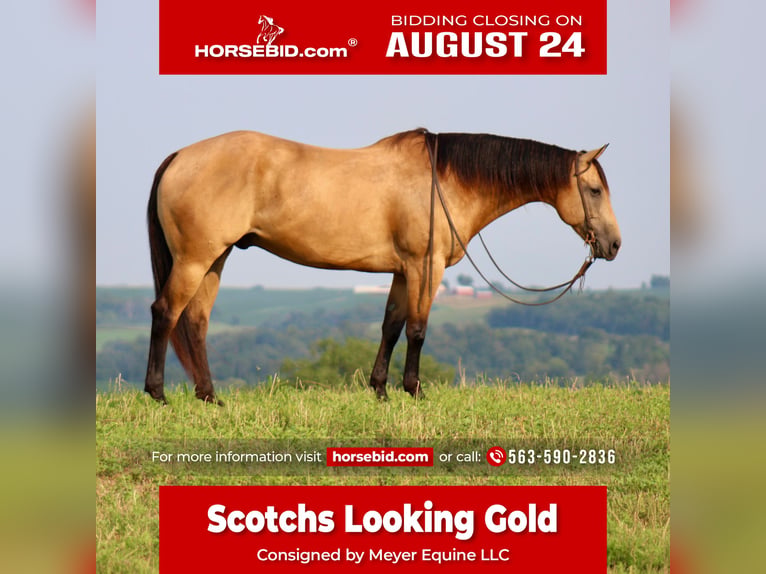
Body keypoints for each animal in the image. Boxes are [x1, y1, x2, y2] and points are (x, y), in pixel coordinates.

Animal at [144, 129, 621, 404]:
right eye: (595, 190)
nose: (615, 245)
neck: (443, 178)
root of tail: (179, 156)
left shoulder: (401, 271)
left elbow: (391, 326)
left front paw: (379, 390)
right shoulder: (425, 268)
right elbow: (417, 330)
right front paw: (414, 390)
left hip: (214, 259)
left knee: (196, 321)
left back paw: (209, 396)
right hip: (195, 259)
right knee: (166, 313)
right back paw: (158, 393)